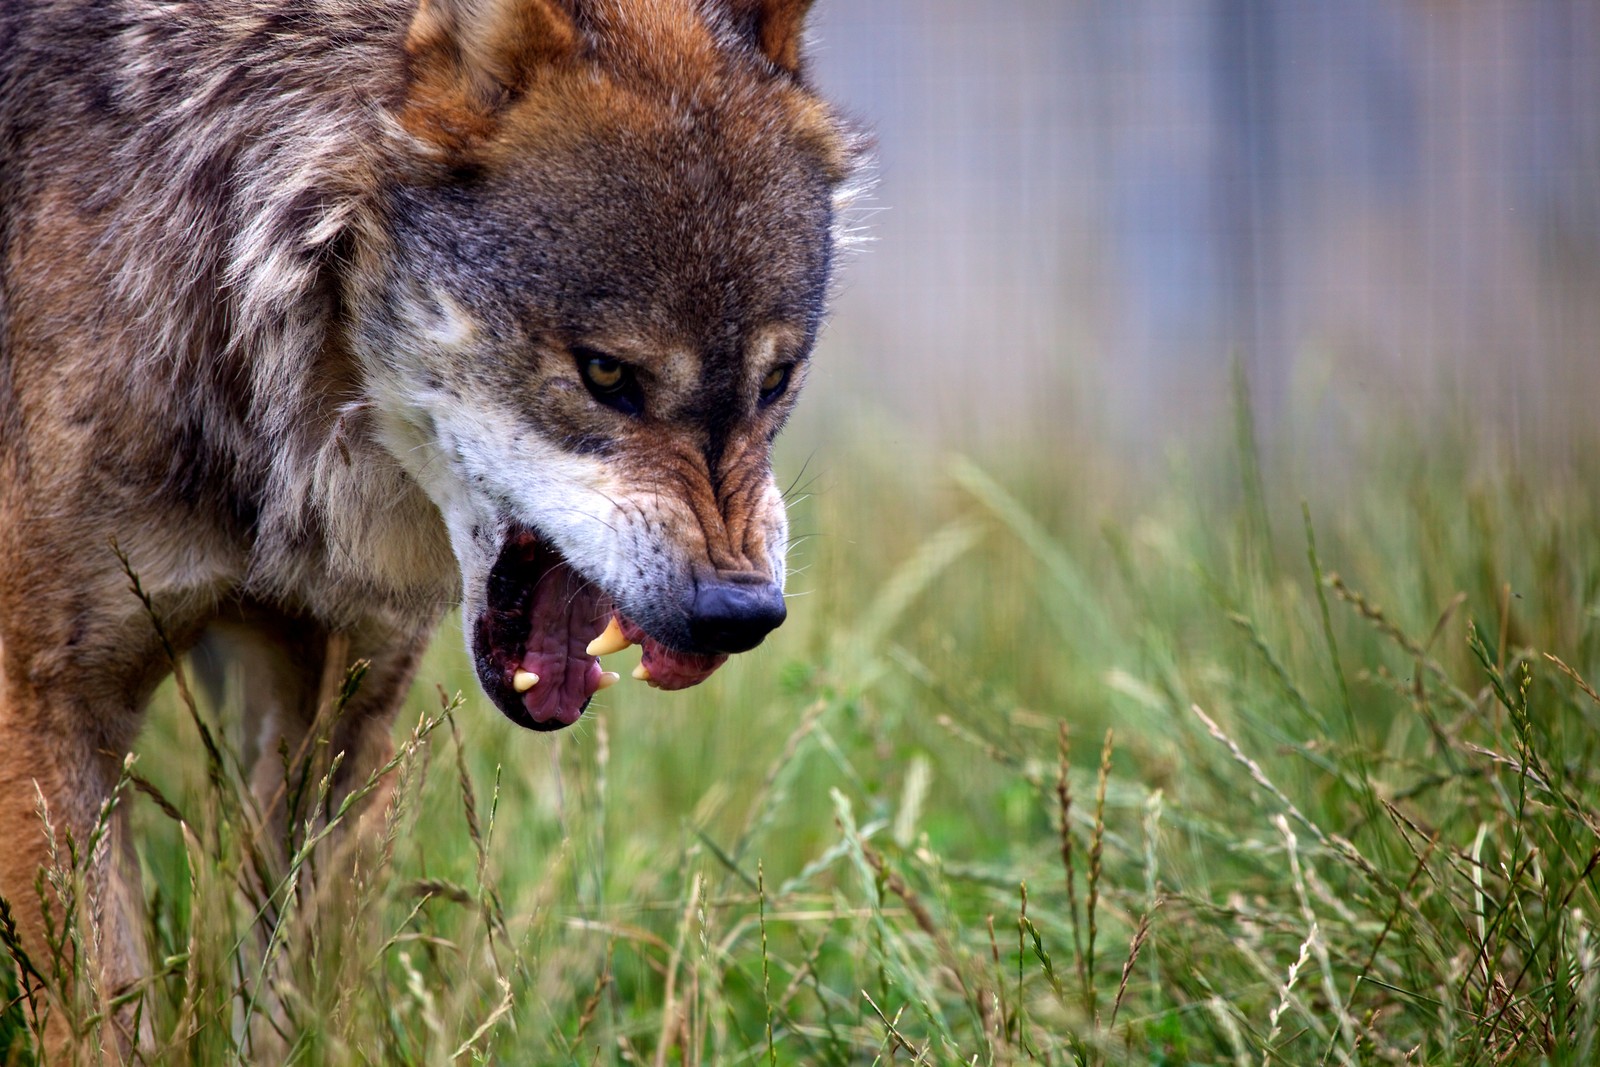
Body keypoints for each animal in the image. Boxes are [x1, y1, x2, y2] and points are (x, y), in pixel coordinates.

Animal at [0, 0, 864, 1049]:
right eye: (606, 374)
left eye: (775, 382)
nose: (738, 613)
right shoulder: (50, 700)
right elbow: (100, 1015)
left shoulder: (335, 701)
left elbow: (295, 1000)